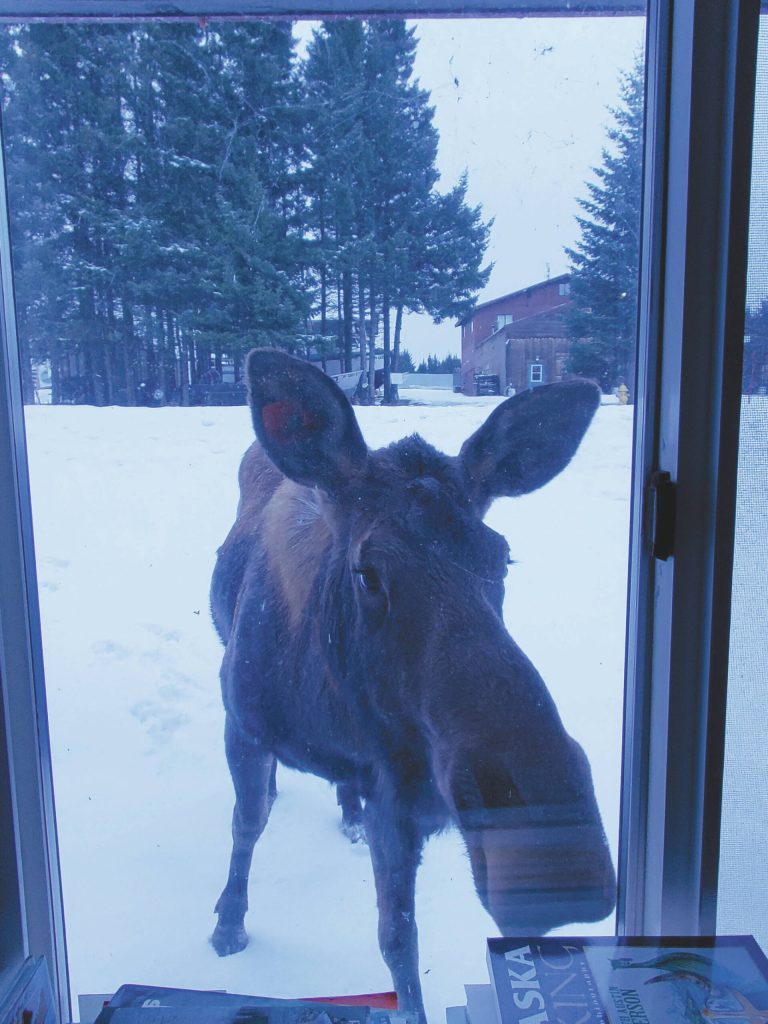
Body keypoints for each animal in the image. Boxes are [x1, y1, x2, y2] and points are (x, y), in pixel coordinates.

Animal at [210, 348, 616, 1022]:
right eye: (367, 572)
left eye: (502, 557)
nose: (554, 855)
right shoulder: (243, 722)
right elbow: (246, 824)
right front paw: (227, 923)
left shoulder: (402, 793)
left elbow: (398, 941)